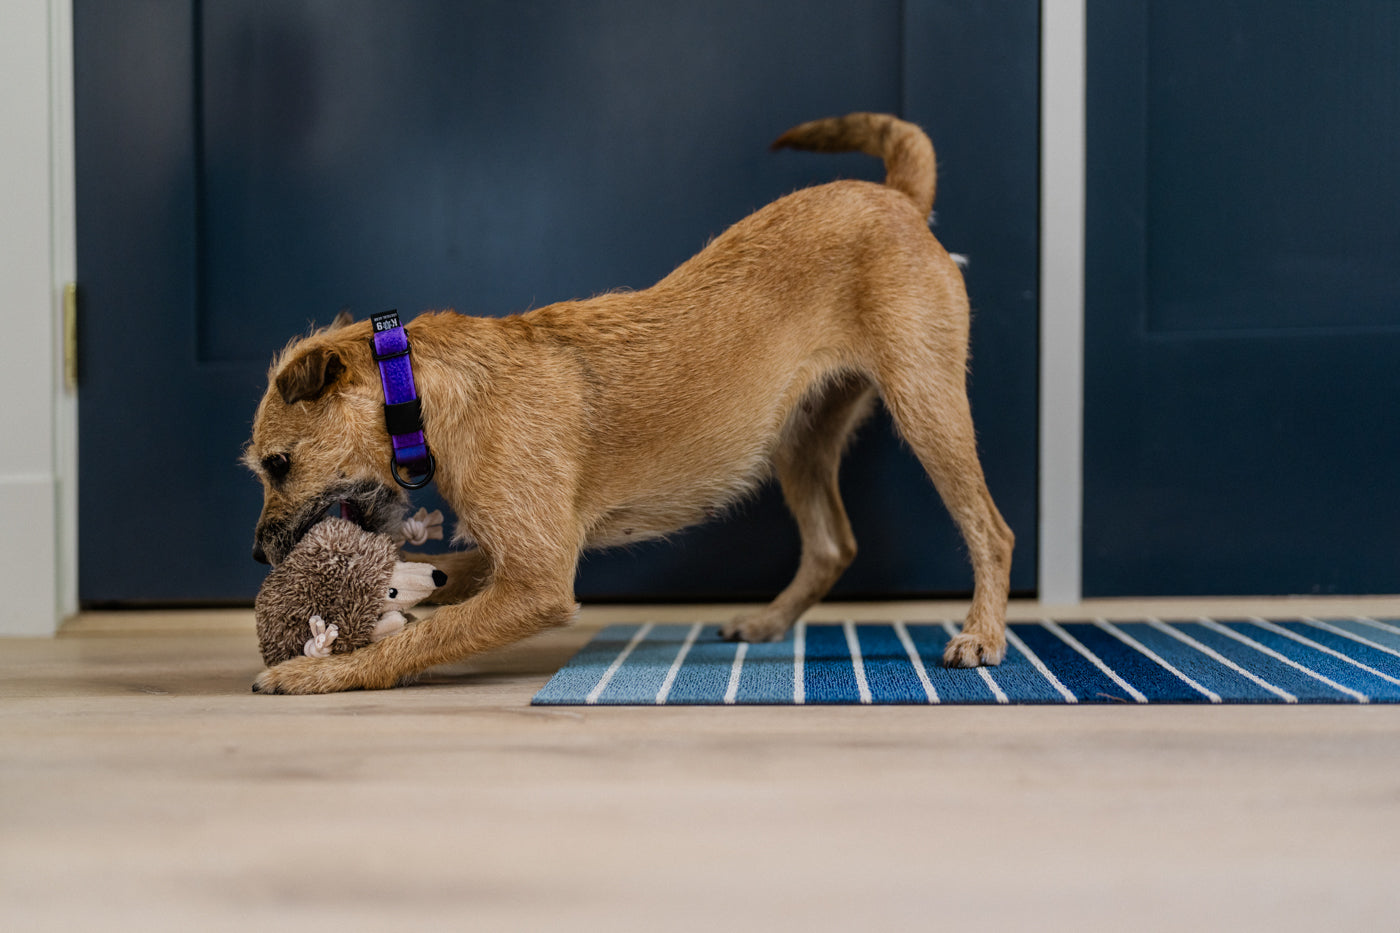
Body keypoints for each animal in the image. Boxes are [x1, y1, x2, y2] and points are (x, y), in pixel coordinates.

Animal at [246, 110, 1013, 689]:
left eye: (278, 464)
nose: (257, 557)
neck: (416, 388)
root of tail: (898, 197)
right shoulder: (507, 560)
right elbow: (441, 584)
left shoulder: (538, 580)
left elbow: (415, 641)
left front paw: (319, 671)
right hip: (800, 437)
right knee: (831, 544)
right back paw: (768, 621)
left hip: (927, 404)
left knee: (990, 529)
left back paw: (982, 634)